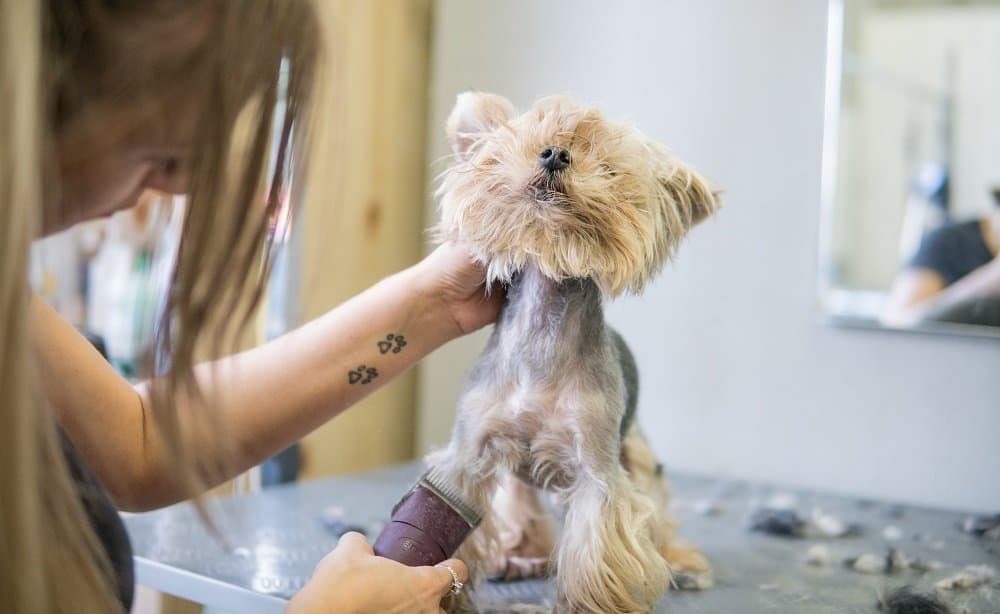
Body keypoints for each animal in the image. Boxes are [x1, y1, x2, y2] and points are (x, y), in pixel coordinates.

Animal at [428, 92, 720, 614]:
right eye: (532, 139)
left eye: (608, 167)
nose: (555, 155)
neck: (544, 329)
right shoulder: (469, 455)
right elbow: (458, 521)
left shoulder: (595, 468)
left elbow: (597, 546)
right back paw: (518, 555)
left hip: (637, 454)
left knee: (656, 513)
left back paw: (680, 562)